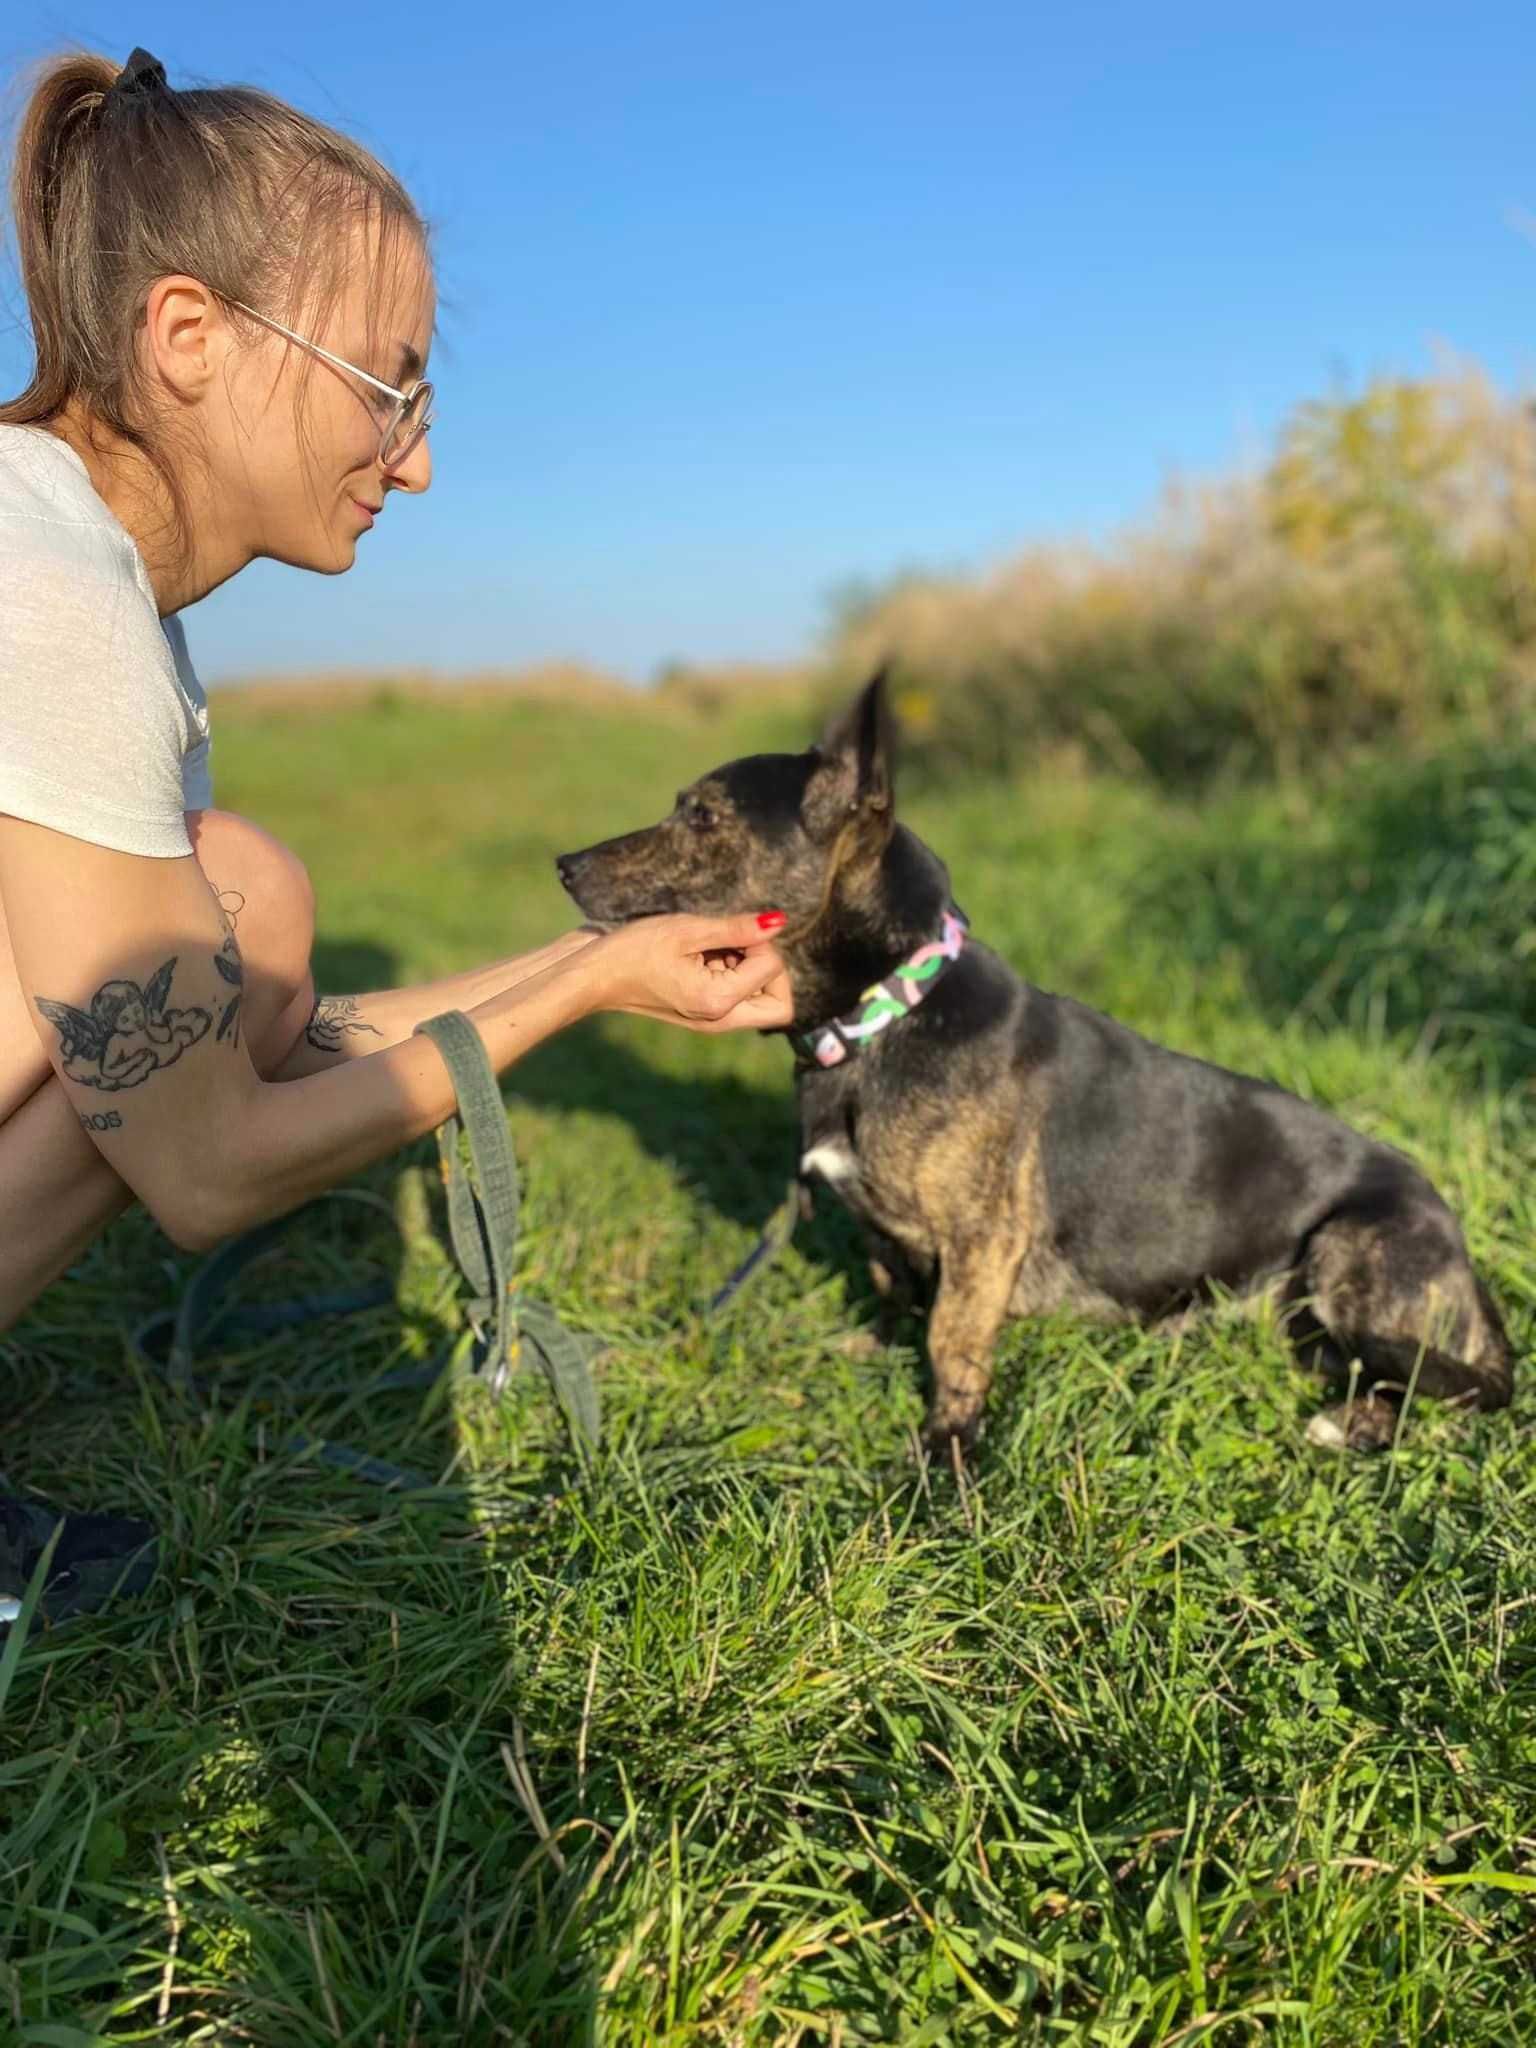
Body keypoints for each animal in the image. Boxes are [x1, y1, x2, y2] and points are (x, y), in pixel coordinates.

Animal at [557, 675, 1515, 1458]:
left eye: (702, 817)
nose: (563, 864)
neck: (884, 1019)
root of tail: (1462, 1256)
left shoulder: (983, 1241)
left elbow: (950, 1341)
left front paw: (943, 1457)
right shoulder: (882, 1236)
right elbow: (894, 1296)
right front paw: (872, 1352)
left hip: (1347, 1253)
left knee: (1411, 1386)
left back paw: (1346, 1430)